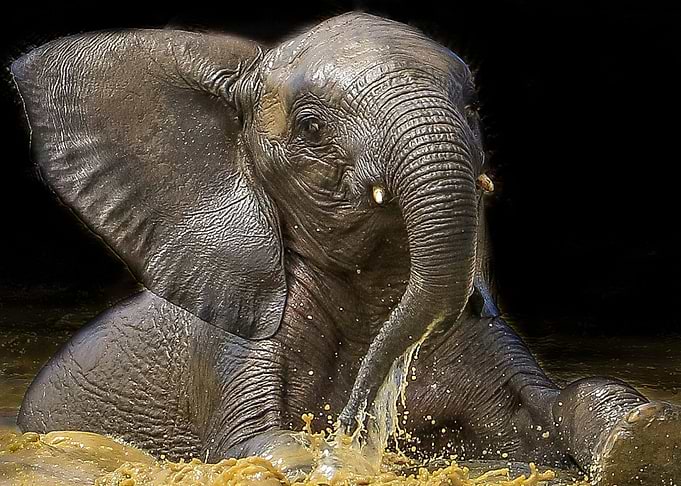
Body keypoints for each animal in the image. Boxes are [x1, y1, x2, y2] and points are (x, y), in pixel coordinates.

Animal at [11, 12, 680, 484]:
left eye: (472, 106)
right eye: (310, 128)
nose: (359, 422)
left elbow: (539, 415)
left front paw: (642, 438)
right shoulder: (233, 343)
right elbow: (259, 446)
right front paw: (332, 456)